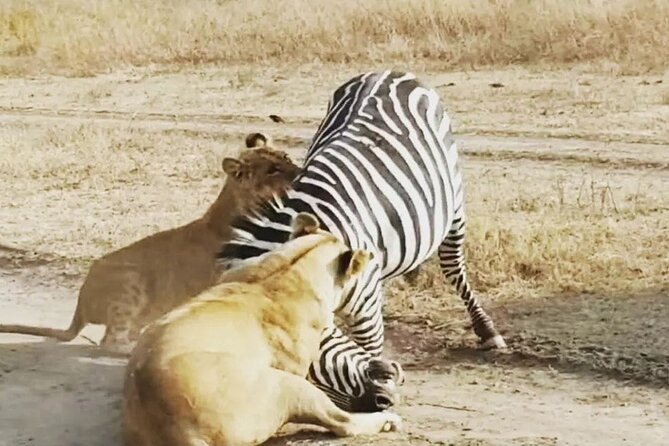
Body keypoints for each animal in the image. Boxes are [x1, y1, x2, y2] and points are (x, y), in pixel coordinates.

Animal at [0, 134, 301, 354]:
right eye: (273, 170)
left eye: (285, 157)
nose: (299, 172)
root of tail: (80, 304)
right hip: (129, 281)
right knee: (109, 342)